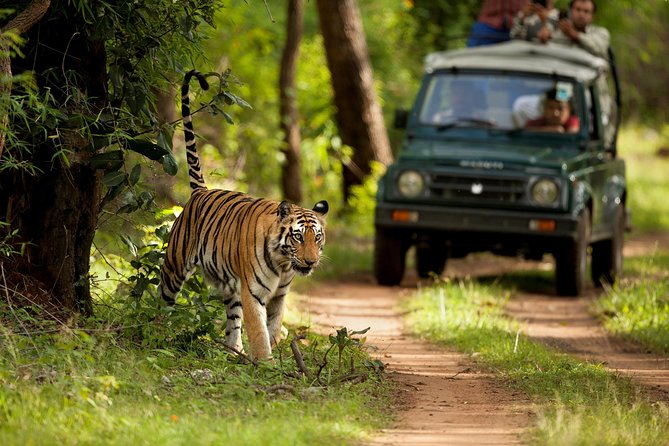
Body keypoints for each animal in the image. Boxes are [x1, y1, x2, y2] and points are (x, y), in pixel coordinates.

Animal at [158, 69, 328, 360]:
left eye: (317, 238)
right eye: (297, 237)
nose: (310, 262)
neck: (284, 264)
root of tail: (201, 192)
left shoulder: (279, 295)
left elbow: (273, 326)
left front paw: (273, 354)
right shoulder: (254, 292)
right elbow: (259, 331)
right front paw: (265, 362)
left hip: (231, 284)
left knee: (232, 318)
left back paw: (233, 350)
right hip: (175, 266)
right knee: (162, 299)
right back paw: (153, 327)